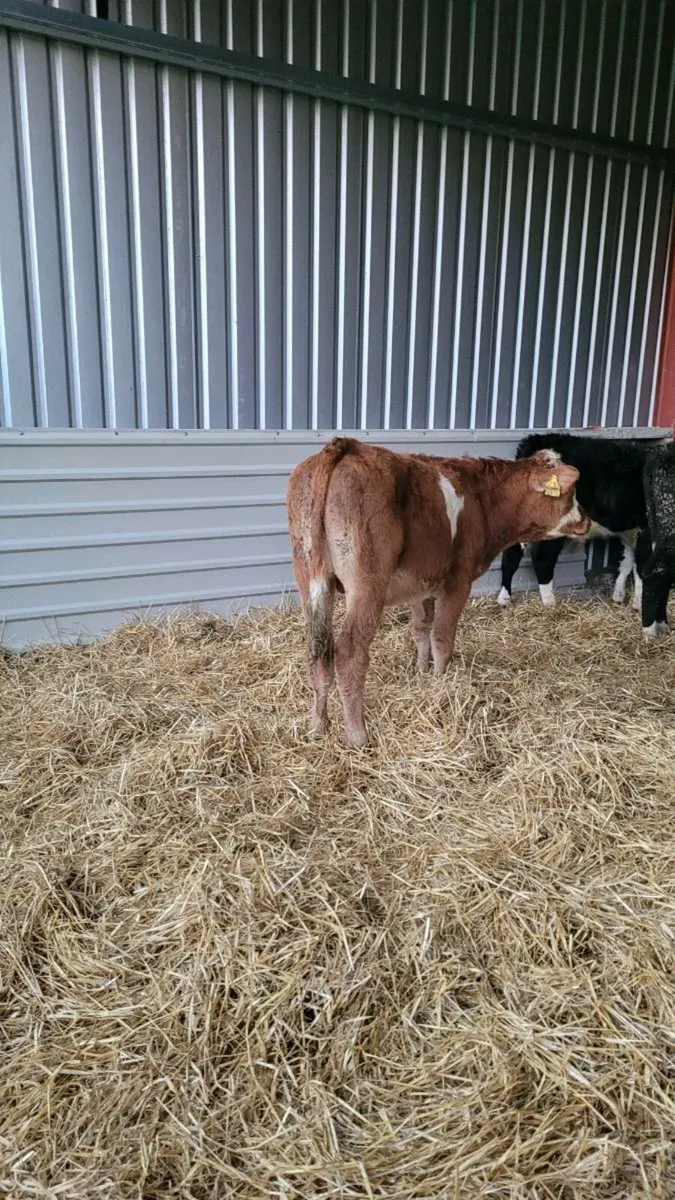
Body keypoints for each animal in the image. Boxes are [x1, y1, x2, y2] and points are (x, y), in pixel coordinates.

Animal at [287, 437, 590, 747]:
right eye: (570, 492)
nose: (587, 521)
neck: (482, 502)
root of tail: (344, 447)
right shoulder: (458, 581)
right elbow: (442, 638)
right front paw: (441, 682)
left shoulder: (422, 586)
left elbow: (421, 631)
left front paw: (422, 674)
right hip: (366, 583)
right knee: (349, 651)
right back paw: (357, 735)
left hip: (310, 576)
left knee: (318, 649)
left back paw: (317, 726)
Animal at [497, 432, 654, 612]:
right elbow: (642, 568)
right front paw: (639, 604)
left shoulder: (631, 532)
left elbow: (627, 562)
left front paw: (619, 596)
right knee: (542, 558)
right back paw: (550, 603)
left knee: (512, 554)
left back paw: (504, 598)